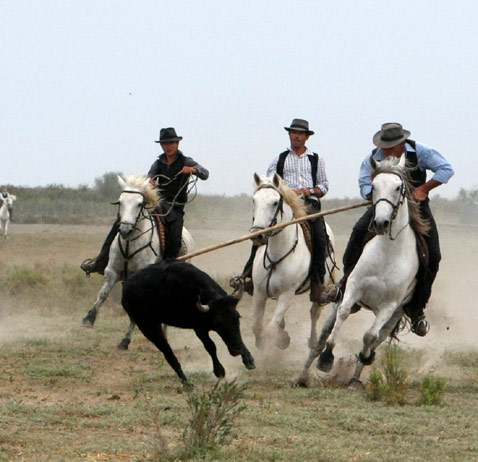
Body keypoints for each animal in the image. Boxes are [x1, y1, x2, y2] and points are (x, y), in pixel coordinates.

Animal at [82, 175, 194, 348]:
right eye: (120, 202)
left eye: (139, 203)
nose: (125, 230)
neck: (130, 244)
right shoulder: (112, 272)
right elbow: (103, 295)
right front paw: (89, 318)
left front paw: (125, 341)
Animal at [121, 260, 256, 382]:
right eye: (218, 324)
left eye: (237, 318)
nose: (237, 350)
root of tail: (126, 286)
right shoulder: (199, 328)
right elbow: (210, 346)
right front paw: (219, 371)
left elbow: (238, 337)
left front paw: (249, 360)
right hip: (148, 327)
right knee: (168, 353)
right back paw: (186, 382)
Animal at [248, 173, 338, 350]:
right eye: (254, 200)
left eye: (275, 202)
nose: (258, 235)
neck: (276, 255)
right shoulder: (259, 292)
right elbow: (256, 325)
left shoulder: (286, 295)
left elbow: (271, 329)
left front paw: (276, 344)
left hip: (321, 286)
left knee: (314, 313)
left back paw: (313, 342)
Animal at [296, 154, 432, 386]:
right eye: (374, 186)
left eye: (398, 187)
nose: (381, 222)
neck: (388, 254)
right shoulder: (353, 289)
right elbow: (341, 317)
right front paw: (326, 358)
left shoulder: (389, 306)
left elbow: (370, 336)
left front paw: (366, 357)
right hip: (345, 300)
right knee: (323, 334)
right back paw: (302, 375)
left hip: (396, 314)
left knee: (378, 337)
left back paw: (356, 378)